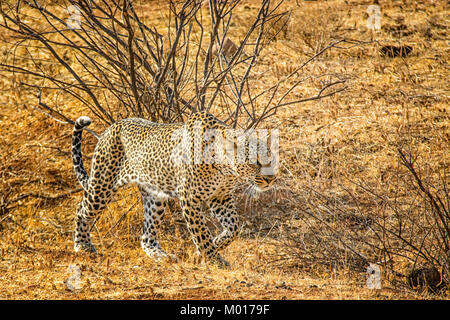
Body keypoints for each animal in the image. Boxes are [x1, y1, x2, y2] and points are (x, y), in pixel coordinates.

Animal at [72, 111, 276, 266]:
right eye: (256, 162)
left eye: (271, 158)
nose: (271, 179)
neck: (224, 169)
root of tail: (111, 128)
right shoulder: (189, 199)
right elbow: (201, 233)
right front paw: (213, 259)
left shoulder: (220, 197)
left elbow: (233, 228)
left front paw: (213, 246)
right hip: (102, 185)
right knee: (81, 210)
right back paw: (82, 245)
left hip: (156, 197)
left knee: (146, 235)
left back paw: (161, 256)